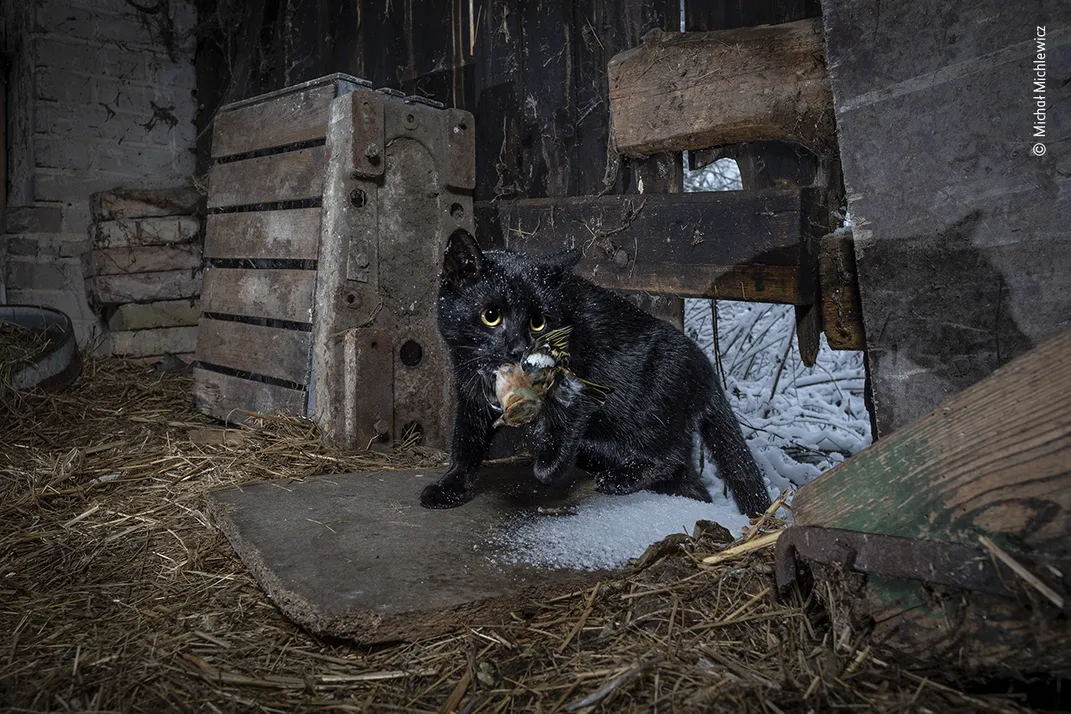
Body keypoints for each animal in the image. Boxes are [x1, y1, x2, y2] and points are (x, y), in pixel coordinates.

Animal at [415, 232, 771, 515]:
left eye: (537, 322)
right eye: (491, 316)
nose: (520, 349)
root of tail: (708, 373)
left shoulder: (580, 376)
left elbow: (560, 431)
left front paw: (548, 466)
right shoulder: (470, 391)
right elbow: (466, 441)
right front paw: (451, 487)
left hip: (652, 411)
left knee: (666, 458)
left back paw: (618, 477)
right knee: (691, 482)